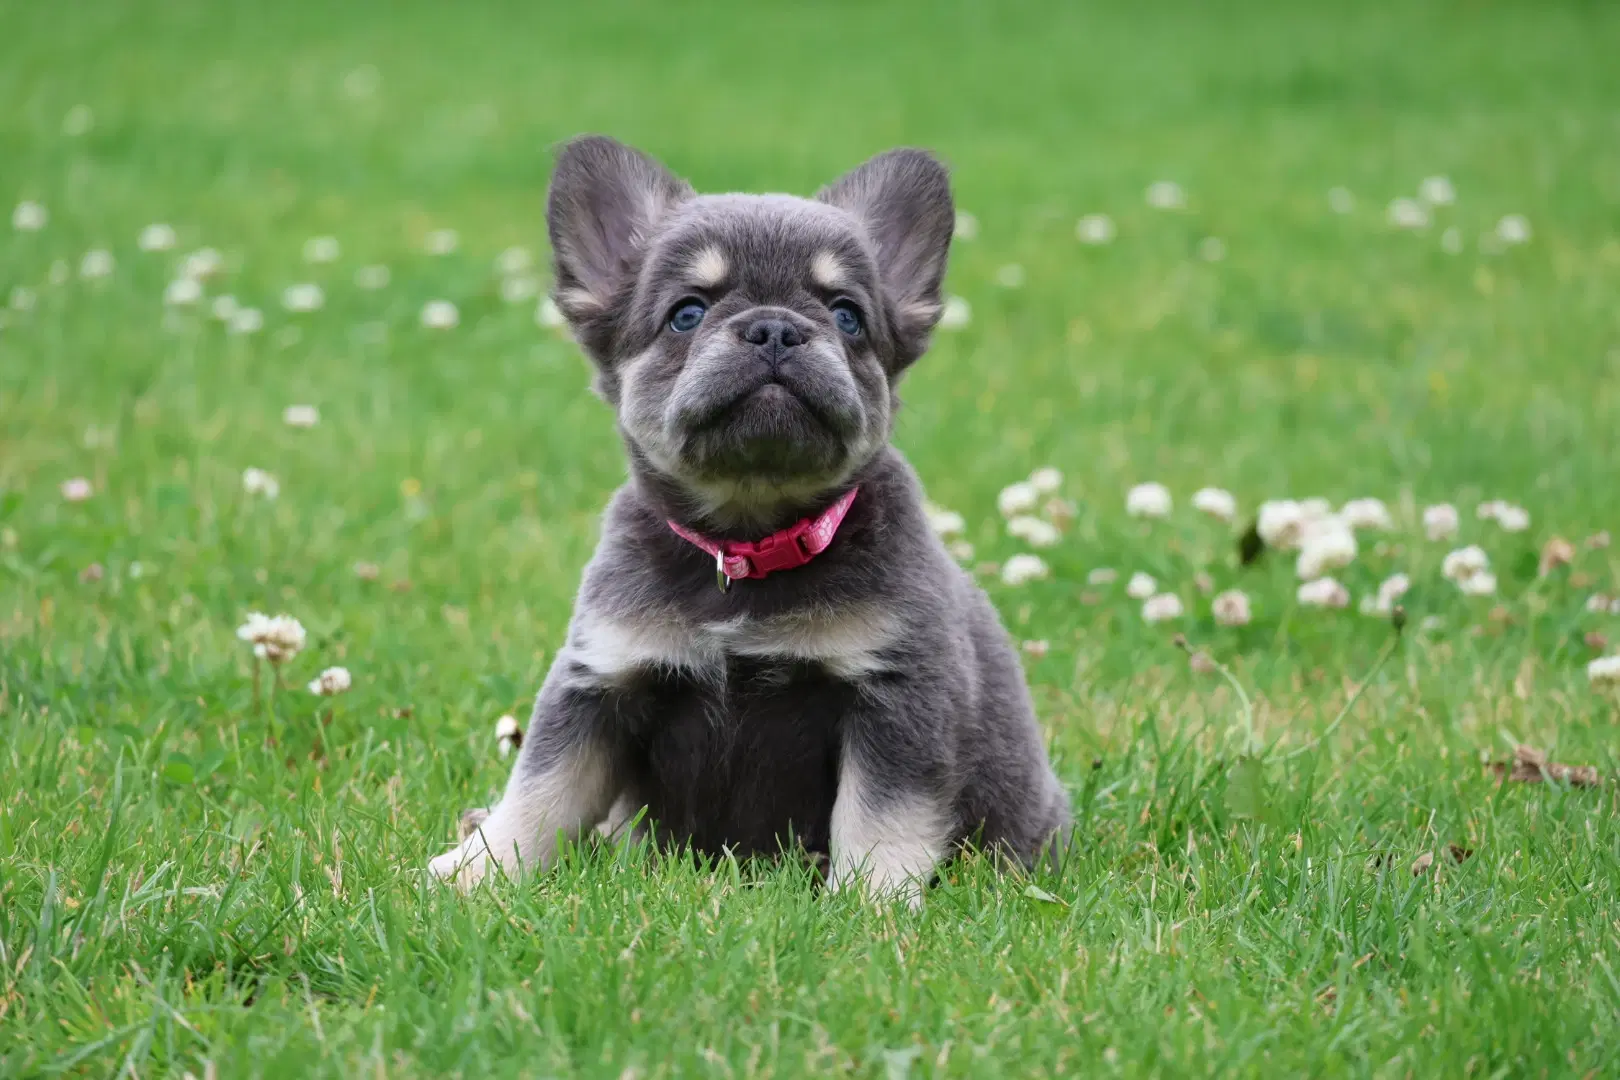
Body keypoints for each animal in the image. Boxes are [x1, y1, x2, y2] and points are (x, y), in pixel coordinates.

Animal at [424, 135, 1069, 900]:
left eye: (847, 316)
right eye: (687, 313)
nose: (775, 328)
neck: (748, 539)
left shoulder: (896, 702)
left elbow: (880, 821)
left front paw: (870, 905)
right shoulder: (600, 684)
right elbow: (542, 791)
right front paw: (478, 871)